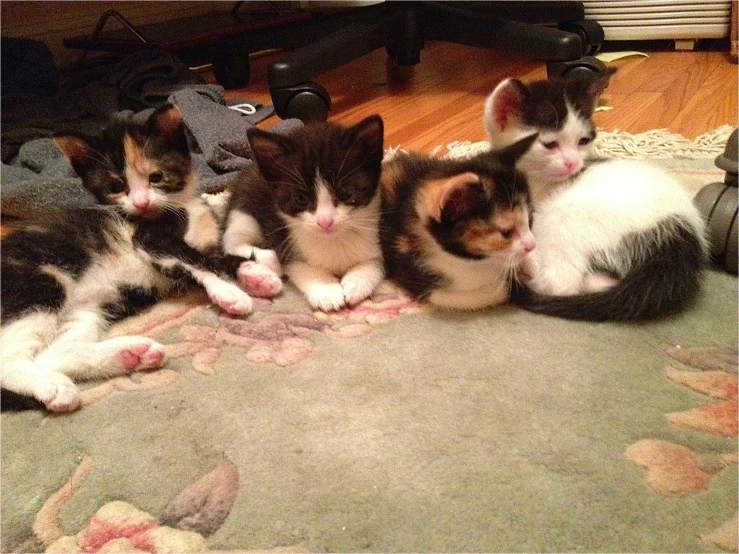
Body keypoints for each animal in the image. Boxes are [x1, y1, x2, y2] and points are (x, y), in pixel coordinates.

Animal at [0, 105, 251, 412]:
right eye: (116, 186)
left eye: (156, 177)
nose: (141, 202)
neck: (181, 205)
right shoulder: (149, 238)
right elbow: (195, 259)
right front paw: (230, 293)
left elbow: (219, 257)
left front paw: (258, 273)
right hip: (36, 281)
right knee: (9, 357)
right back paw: (53, 385)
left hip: (88, 310)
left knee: (54, 353)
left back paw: (130, 354)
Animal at [223, 115, 388, 310]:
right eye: (300, 199)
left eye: (345, 193)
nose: (325, 222)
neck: (333, 240)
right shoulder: (283, 242)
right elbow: (297, 265)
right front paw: (326, 290)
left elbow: (374, 261)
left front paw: (358, 282)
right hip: (244, 205)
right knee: (231, 242)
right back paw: (266, 265)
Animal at [382, 132, 536, 308]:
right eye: (506, 232)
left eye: (530, 219)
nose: (532, 245)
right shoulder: (412, 271)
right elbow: (466, 297)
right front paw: (504, 287)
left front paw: (533, 265)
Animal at [482, 70, 708, 320]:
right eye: (549, 144)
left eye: (583, 141)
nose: (574, 163)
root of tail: (679, 238)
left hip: (565, 216)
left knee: (561, 282)